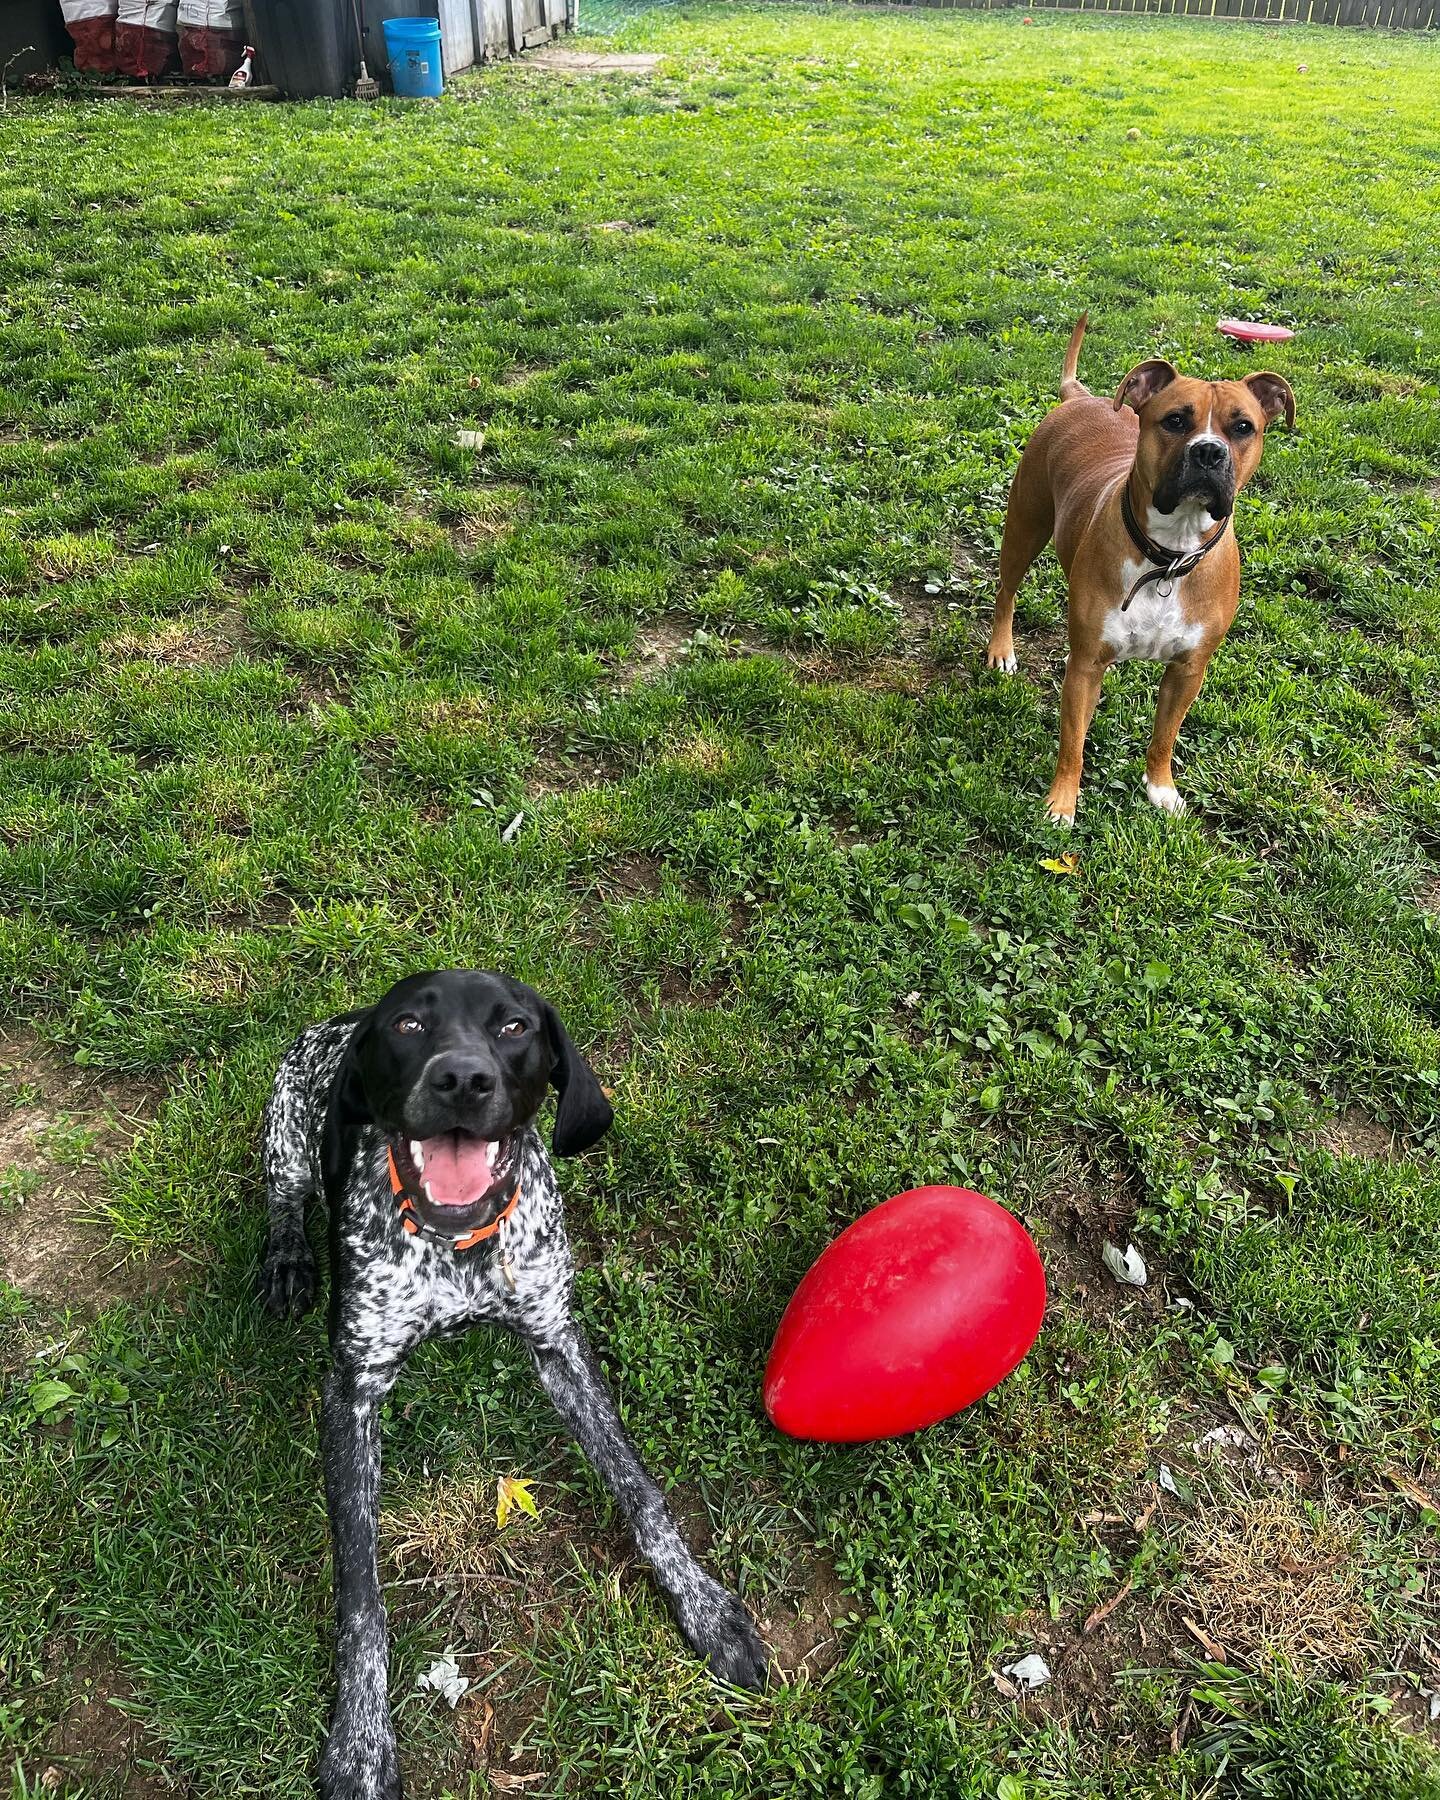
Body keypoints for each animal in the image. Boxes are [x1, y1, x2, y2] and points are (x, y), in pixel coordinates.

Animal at [262, 972, 770, 1800]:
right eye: (408, 1025)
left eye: (512, 1027)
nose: (463, 1080)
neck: (456, 1245)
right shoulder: (352, 1391)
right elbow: (361, 1595)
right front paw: (361, 1742)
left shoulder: (559, 1345)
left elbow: (640, 1490)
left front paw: (704, 1608)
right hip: (287, 1130)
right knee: (283, 1196)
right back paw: (286, 1259)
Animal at [993, 320, 1296, 824]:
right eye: (1174, 421)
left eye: (1243, 427)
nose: (1209, 452)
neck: (1168, 557)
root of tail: (1081, 397)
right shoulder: (1084, 665)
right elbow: (1073, 743)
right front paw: (1062, 802)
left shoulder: (1187, 672)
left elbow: (1164, 736)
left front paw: (1161, 788)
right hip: (1024, 528)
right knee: (1006, 592)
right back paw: (1000, 650)